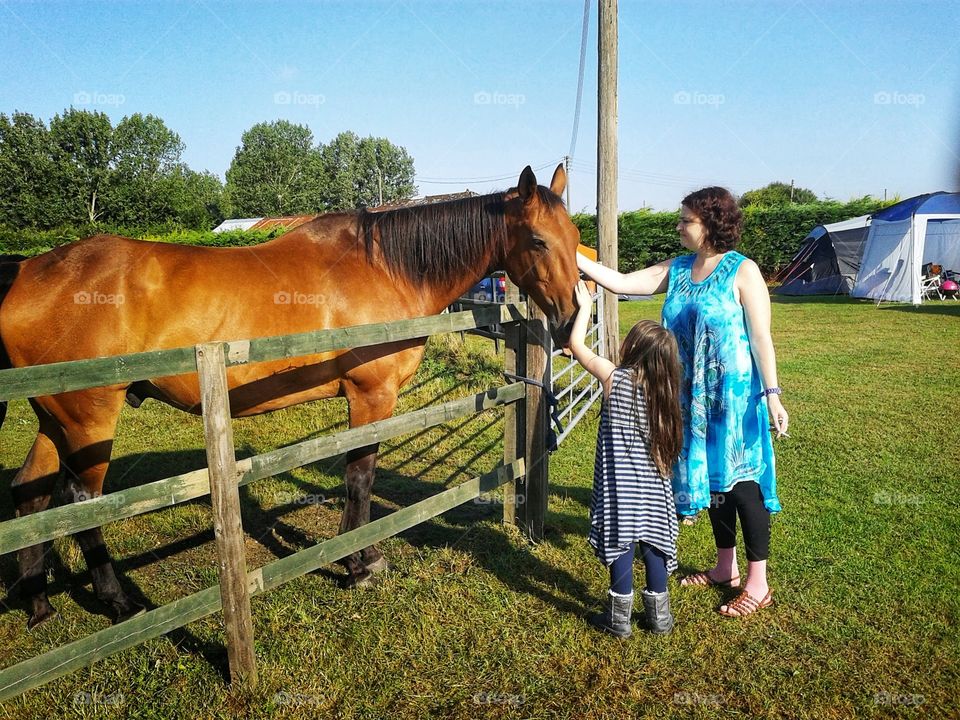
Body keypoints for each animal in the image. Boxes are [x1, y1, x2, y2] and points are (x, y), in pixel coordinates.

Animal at [0, 164, 581, 629]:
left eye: (575, 236)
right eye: (537, 240)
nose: (570, 320)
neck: (384, 268)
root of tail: (27, 270)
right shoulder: (371, 398)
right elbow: (360, 477)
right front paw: (358, 562)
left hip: (57, 422)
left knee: (32, 493)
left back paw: (38, 604)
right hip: (90, 422)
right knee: (81, 503)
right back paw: (119, 602)